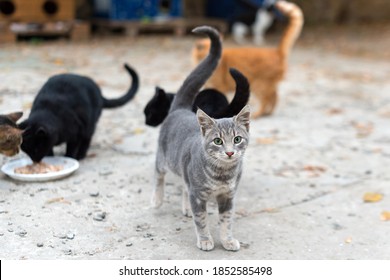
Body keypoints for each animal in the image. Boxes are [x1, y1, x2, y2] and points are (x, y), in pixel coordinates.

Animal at [151, 25, 251, 250]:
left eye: (237, 139)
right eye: (218, 141)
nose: (230, 152)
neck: (222, 174)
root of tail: (180, 109)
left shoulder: (228, 196)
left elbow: (226, 221)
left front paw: (227, 240)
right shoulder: (198, 195)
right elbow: (202, 219)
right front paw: (205, 240)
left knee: (183, 185)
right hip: (163, 159)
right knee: (159, 175)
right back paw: (157, 200)